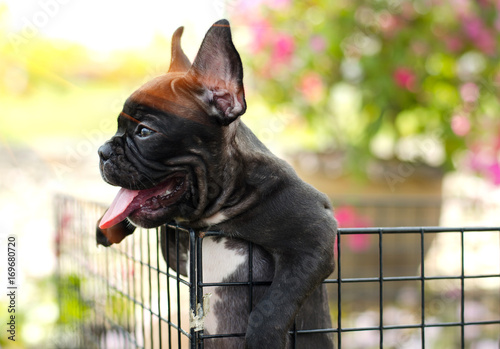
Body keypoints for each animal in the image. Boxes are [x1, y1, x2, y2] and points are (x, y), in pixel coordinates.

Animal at [95, 19, 338, 348]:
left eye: (145, 132)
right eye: (118, 127)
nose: (102, 151)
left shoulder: (314, 239)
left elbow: (277, 302)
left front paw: (262, 337)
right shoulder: (181, 255)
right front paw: (109, 224)